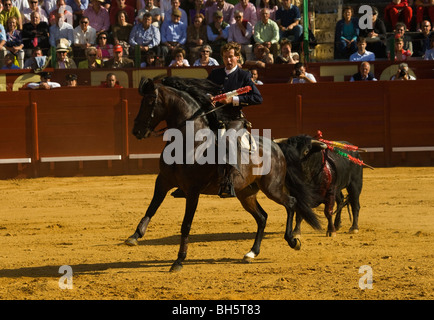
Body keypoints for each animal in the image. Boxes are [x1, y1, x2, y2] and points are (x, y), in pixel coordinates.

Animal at [125, 76, 322, 272]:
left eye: (150, 101)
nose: (137, 131)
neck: (190, 142)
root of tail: (276, 146)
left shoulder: (193, 190)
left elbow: (186, 224)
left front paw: (179, 260)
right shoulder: (163, 180)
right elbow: (151, 207)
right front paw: (134, 236)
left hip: (272, 188)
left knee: (291, 203)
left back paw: (293, 240)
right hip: (246, 193)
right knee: (262, 217)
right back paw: (252, 253)